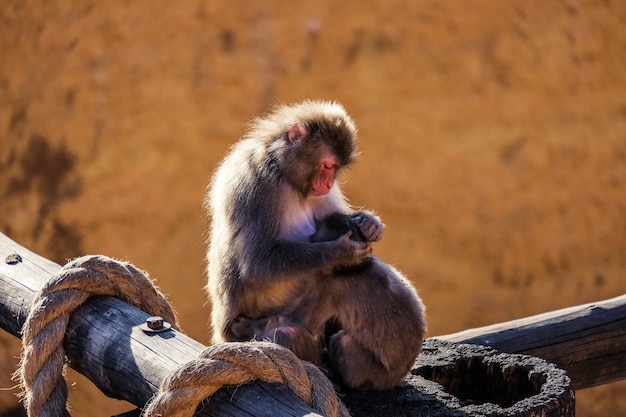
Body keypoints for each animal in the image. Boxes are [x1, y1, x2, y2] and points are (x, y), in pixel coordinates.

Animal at [205, 100, 424, 390]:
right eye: (327, 166)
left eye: (336, 168)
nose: (329, 183)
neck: (287, 176)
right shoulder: (254, 183)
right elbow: (257, 264)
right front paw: (340, 253)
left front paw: (369, 223)